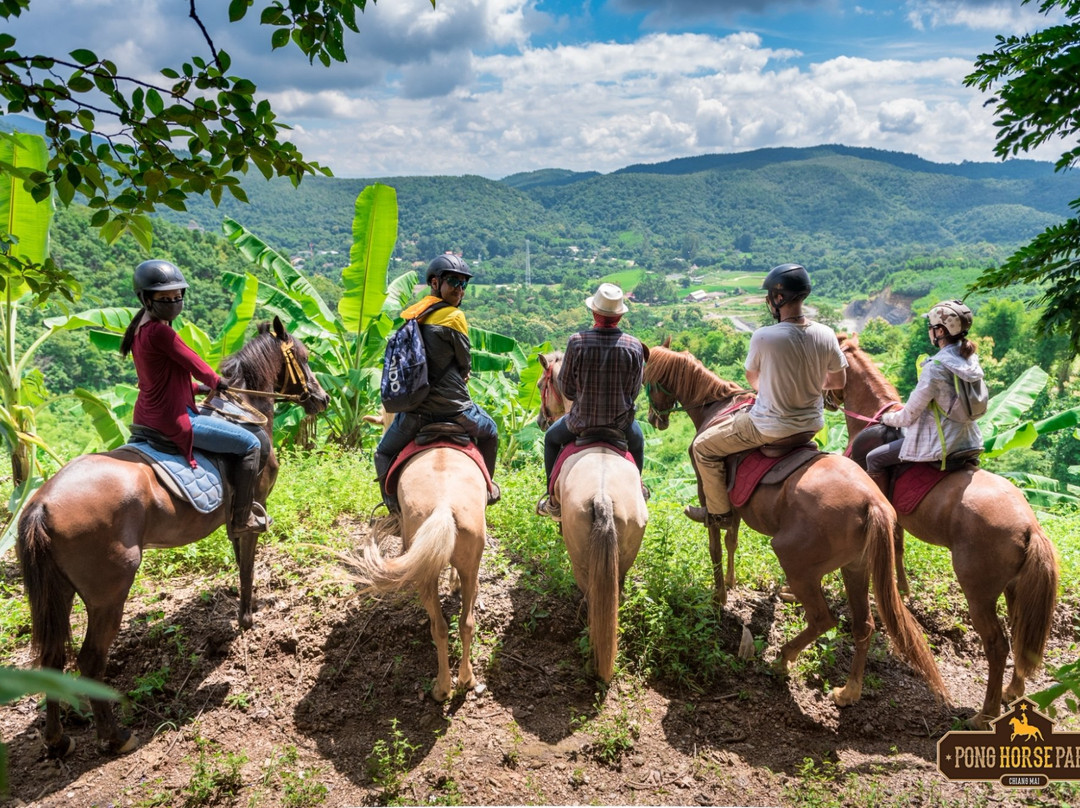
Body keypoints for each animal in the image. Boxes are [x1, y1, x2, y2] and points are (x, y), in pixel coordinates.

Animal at [16, 317, 328, 756]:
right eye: (302, 357)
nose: (322, 398)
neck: (242, 412)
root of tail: (42, 503)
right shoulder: (256, 504)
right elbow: (248, 563)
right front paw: (247, 618)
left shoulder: (235, 519)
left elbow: (239, 558)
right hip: (109, 590)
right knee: (91, 661)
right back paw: (115, 737)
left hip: (56, 590)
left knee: (52, 658)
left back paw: (58, 739)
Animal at [349, 410, 486, 699]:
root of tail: (444, 504)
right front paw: (454, 583)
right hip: (471, 564)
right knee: (466, 623)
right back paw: (465, 679)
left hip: (426, 572)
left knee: (439, 627)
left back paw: (442, 688)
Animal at [533, 352, 643, 682]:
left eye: (541, 385)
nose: (541, 420)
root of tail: (603, 496)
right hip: (625, 549)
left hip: (581, 557)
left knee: (590, 593)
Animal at [639, 345, 946, 708]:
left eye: (648, 380)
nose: (655, 419)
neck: (717, 408)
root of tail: (872, 503)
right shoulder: (734, 504)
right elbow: (732, 540)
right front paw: (730, 580)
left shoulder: (707, 483)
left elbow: (715, 543)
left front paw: (718, 596)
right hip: (856, 567)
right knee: (863, 625)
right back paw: (849, 690)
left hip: (795, 560)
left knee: (823, 618)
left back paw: (784, 658)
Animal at [833, 332, 1054, 725]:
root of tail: (1030, 527)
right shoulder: (892, 518)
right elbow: (898, 548)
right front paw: (902, 590)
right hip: (1016, 587)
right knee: (1020, 631)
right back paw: (1013, 692)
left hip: (978, 591)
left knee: (997, 644)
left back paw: (985, 713)